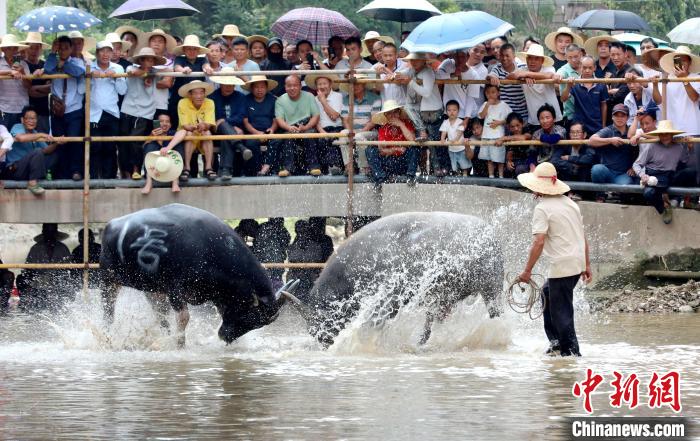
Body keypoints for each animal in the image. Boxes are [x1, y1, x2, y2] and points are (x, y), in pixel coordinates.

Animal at [99, 204, 298, 348]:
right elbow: (184, 318)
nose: (225, 337)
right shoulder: (175, 289)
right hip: (108, 281)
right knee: (108, 313)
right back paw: (108, 339)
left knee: (160, 314)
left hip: (152, 289)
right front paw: (180, 344)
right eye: (248, 316)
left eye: (258, 325)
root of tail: (109, 226)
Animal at [298, 211, 506, 346]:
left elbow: (374, 323)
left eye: (320, 322)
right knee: (432, 323)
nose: (323, 341)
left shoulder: (390, 298)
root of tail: (492, 235)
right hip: (445, 297)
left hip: (491, 289)